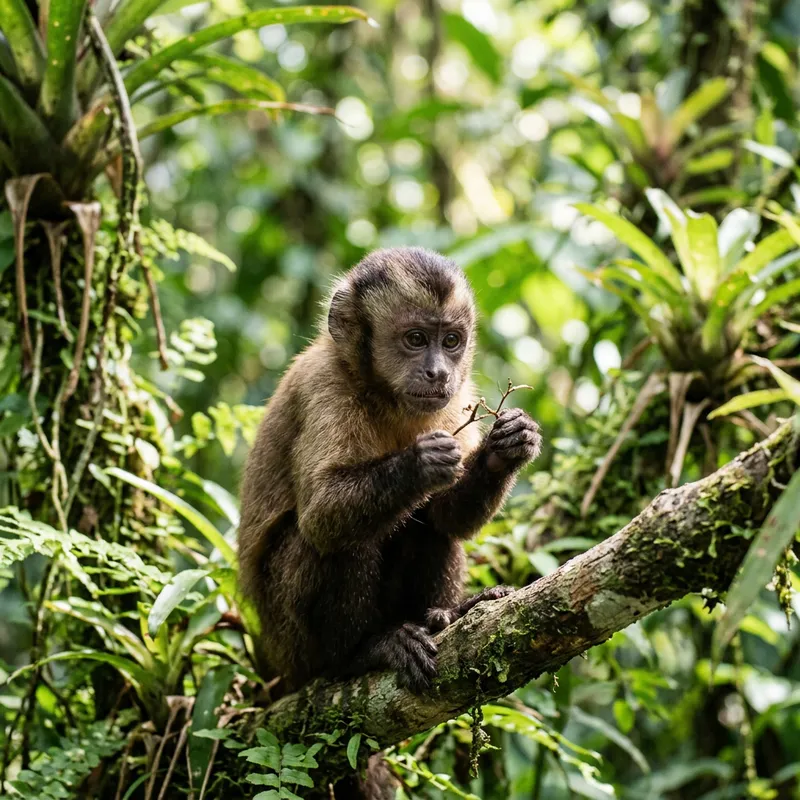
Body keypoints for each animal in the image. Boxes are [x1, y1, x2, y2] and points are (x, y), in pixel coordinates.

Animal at [238, 247, 541, 793]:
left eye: (451, 341)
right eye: (416, 339)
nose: (439, 373)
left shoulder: (460, 399)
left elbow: (447, 516)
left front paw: (506, 448)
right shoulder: (325, 388)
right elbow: (323, 517)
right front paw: (421, 463)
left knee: (426, 523)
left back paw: (444, 616)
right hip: (290, 647)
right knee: (338, 541)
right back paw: (360, 655)